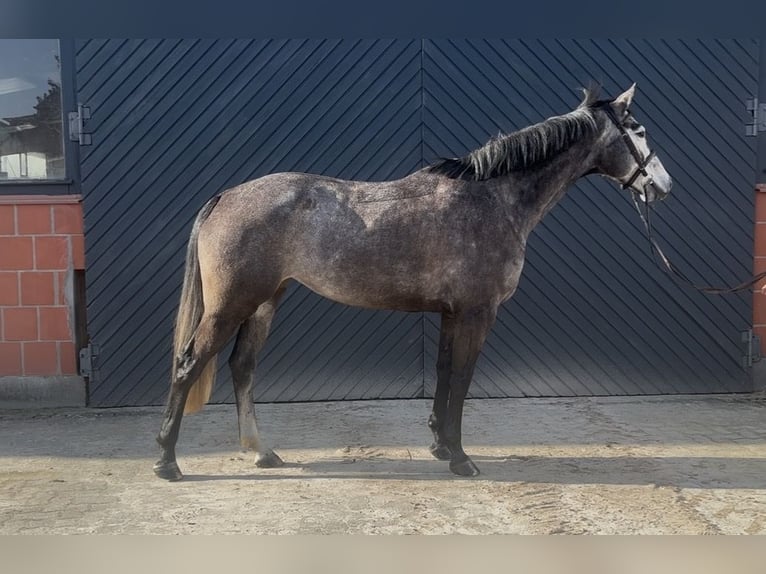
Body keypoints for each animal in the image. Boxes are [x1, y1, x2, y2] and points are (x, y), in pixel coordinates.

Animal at [153, 83, 672, 481]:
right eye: (640, 130)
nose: (663, 186)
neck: (492, 198)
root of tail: (226, 196)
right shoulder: (477, 313)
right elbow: (462, 378)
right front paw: (461, 459)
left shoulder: (450, 313)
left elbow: (443, 373)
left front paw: (440, 445)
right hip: (230, 306)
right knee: (188, 365)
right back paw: (167, 462)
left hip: (264, 302)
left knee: (242, 366)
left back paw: (262, 451)